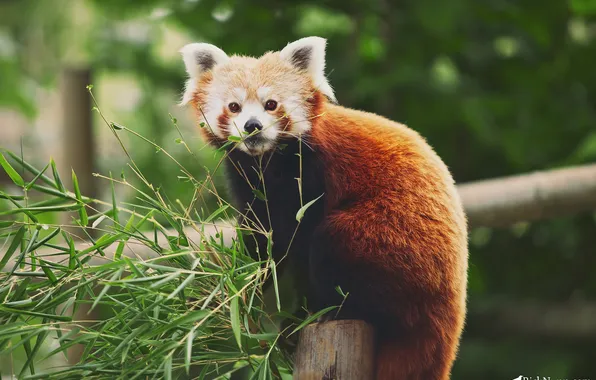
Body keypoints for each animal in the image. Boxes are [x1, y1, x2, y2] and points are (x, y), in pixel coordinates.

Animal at [179, 36, 468, 380]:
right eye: (234, 106)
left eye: (271, 104)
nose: (252, 126)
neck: (269, 160)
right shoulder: (248, 181)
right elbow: (263, 241)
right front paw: (237, 288)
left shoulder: (312, 174)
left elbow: (299, 241)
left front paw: (297, 311)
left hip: (395, 241)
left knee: (333, 244)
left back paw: (327, 313)